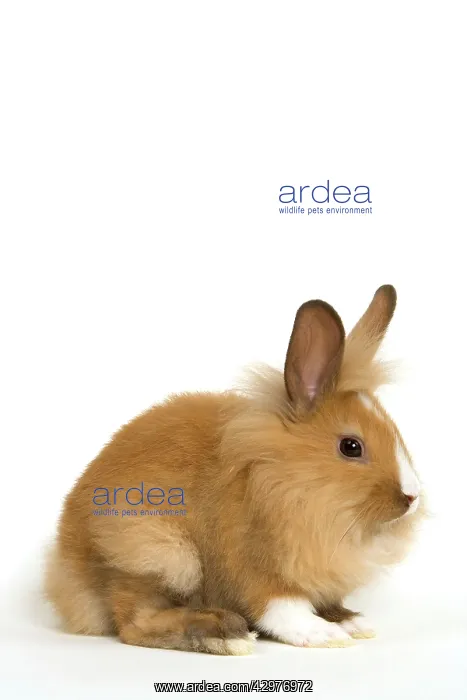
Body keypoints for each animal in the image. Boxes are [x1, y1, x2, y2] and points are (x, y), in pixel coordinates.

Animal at [45, 285, 424, 654]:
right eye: (351, 447)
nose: (412, 497)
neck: (288, 481)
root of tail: (66, 568)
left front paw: (350, 621)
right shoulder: (253, 566)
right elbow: (282, 606)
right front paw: (322, 634)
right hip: (158, 550)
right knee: (134, 624)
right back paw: (224, 633)